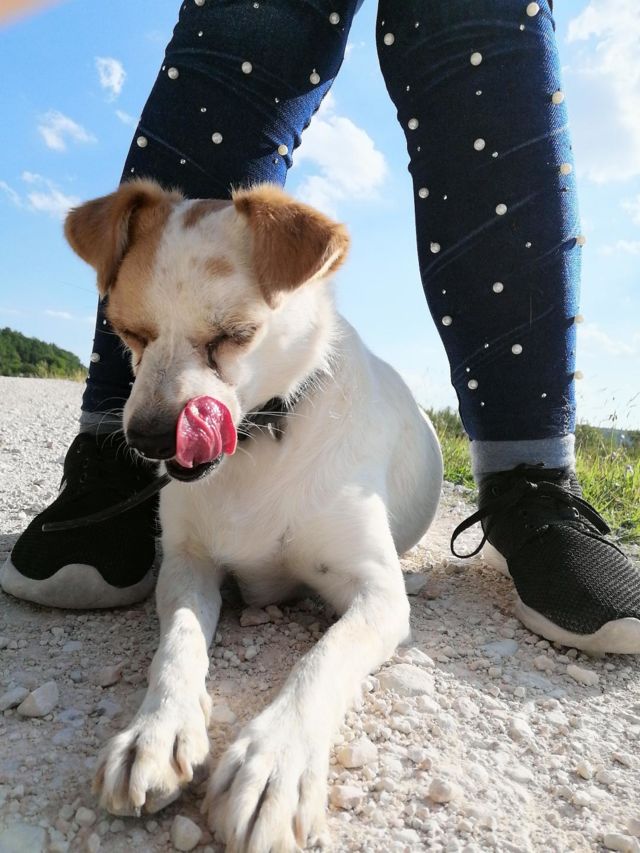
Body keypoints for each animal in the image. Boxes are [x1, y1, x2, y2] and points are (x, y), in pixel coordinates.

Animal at [64, 180, 443, 851]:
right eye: (128, 332)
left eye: (235, 335)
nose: (150, 438)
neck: (262, 440)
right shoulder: (186, 566)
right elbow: (179, 644)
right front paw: (155, 732)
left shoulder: (377, 595)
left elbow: (323, 659)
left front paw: (274, 765)